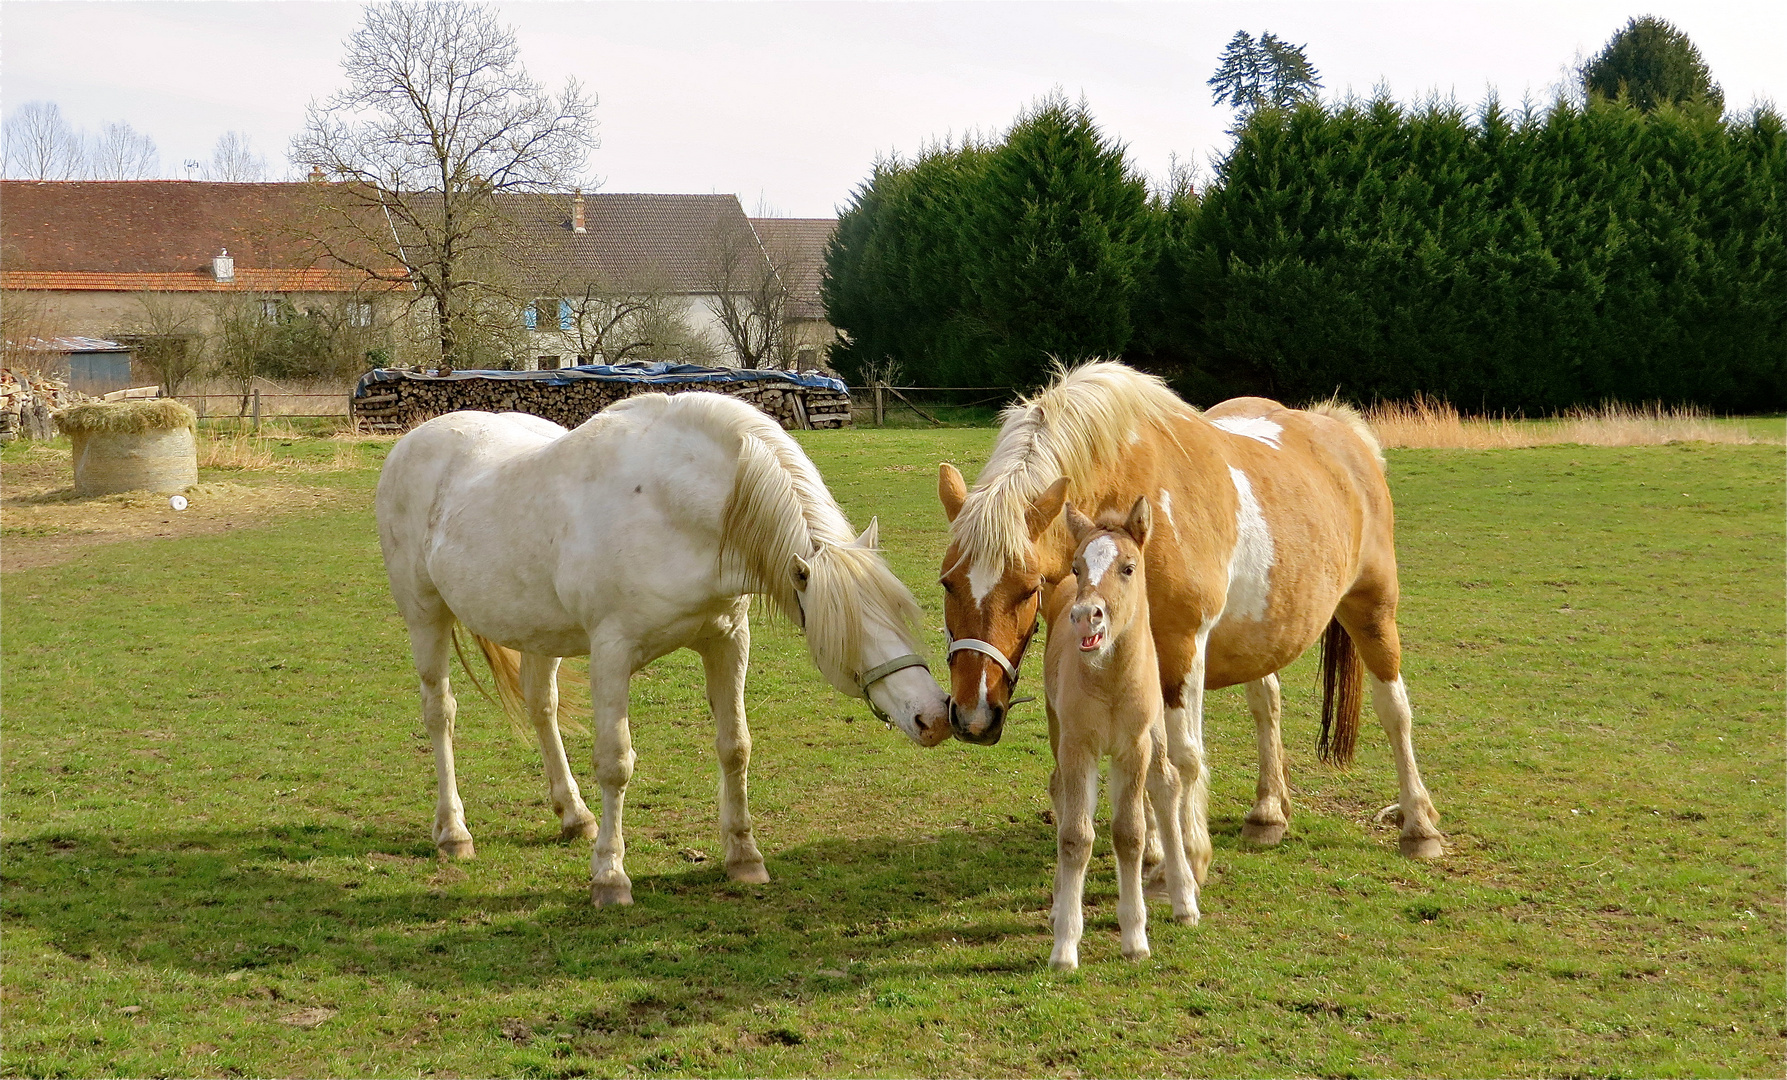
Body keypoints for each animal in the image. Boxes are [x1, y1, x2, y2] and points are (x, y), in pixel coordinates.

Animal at [378, 391, 957, 908]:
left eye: (903, 614)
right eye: (849, 633)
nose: (934, 716)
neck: (672, 509)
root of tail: (412, 441)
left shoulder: (726, 640)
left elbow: (735, 746)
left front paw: (744, 858)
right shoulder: (612, 653)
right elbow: (615, 762)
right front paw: (610, 878)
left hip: (540, 631)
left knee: (541, 708)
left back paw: (575, 816)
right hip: (426, 617)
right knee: (440, 713)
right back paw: (453, 833)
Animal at [1043, 497, 1200, 972]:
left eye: (1128, 567)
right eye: (1077, 567)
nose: (1085, 616)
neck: (1110, 679)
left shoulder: (1134, 746)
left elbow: (1130, 833)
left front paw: (1134, 939)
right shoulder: (1077, 744)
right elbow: (1076, 834)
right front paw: (1064, 945)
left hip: (1157, 728)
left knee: (1166, 786)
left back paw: (1185, 899)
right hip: (1058, 728)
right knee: (1062, 792)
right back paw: (1060, 899)